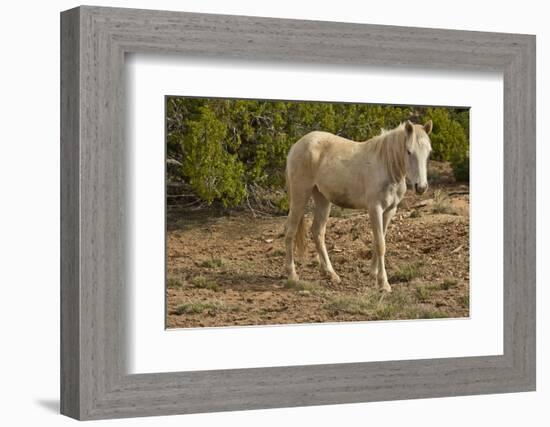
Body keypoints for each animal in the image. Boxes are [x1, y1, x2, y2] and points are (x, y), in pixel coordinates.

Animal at [286, 120, 434, 294]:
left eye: (428, 152)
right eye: (409, 151)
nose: (421, 187)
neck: (386, 165)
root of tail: (297, 145)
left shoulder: (389, 211)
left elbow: (379, 241)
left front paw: (373, 274)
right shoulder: (375, 209)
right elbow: (380, 244)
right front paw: (383, 283)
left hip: (322, 198)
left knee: (318, 232)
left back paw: (331, 274)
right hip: (300, 195)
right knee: (290, 231)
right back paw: (292, 274)